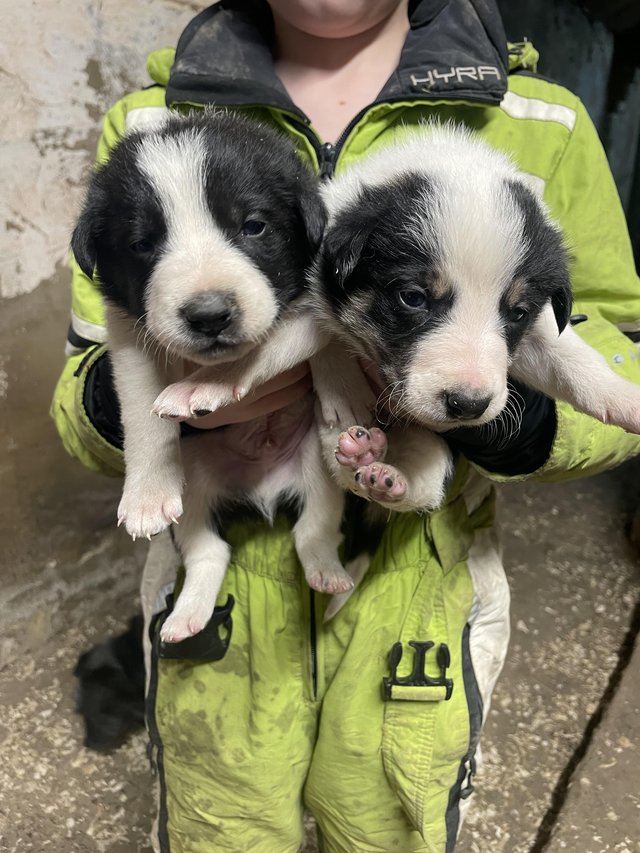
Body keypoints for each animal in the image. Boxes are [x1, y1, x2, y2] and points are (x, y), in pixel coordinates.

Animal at [70, 115, 364, 644]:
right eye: (142, 244)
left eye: (253, 225)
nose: (209, 316)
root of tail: (261, 490)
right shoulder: (129, 336)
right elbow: (143, 413)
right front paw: (146, 493)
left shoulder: (310, 306)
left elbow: (270, 346)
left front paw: (204, 385)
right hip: (196, 485)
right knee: (210, 550)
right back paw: (186, 615)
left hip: (319, 469)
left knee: (312, 529)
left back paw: (326, 571)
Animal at [310, 122, 640, 512]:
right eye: (413, 298)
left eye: (518, 312)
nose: (469, 406)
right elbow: (316, 327)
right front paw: (342, 382)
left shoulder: (535, 333)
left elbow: (571, 359)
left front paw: (626, 399)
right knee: (346, 472)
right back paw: (362, 454)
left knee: (420, 485)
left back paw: (384, 472)